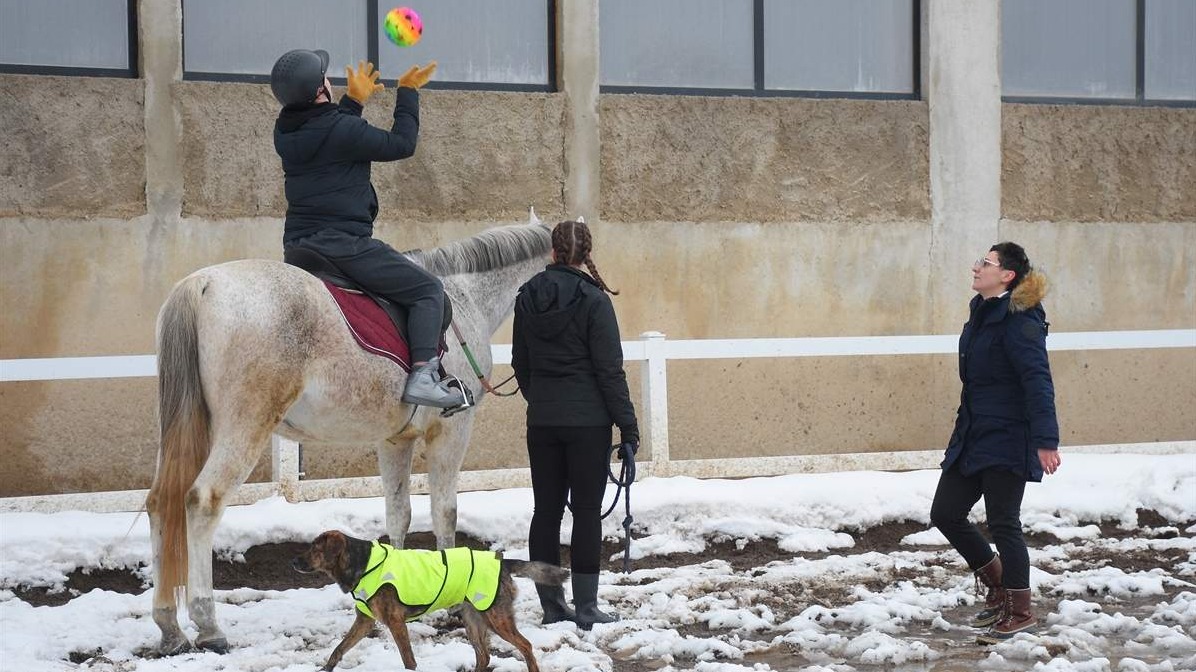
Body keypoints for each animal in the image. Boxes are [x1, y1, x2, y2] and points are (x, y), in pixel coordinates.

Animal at [144, 212, 550, 650]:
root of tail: (202, 284)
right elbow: (445, 513)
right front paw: (456, 599)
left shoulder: (394, 440)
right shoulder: (451, 431)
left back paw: (169, 626)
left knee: (161, 503)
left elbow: (398, 514)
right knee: (202, 502)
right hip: (243, 426)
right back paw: (209, 624)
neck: (465, 298)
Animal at [291, 528, 566, 669]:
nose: (293, 562)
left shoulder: (395, 623)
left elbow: (408, 660)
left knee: (525, 646)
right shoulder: (365, 622)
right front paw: (326, 668)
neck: (363, 562)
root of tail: (503, 562)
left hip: (497, 619)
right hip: (474, 621)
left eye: (315, 548)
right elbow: (339, 649)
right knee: (484, 656)